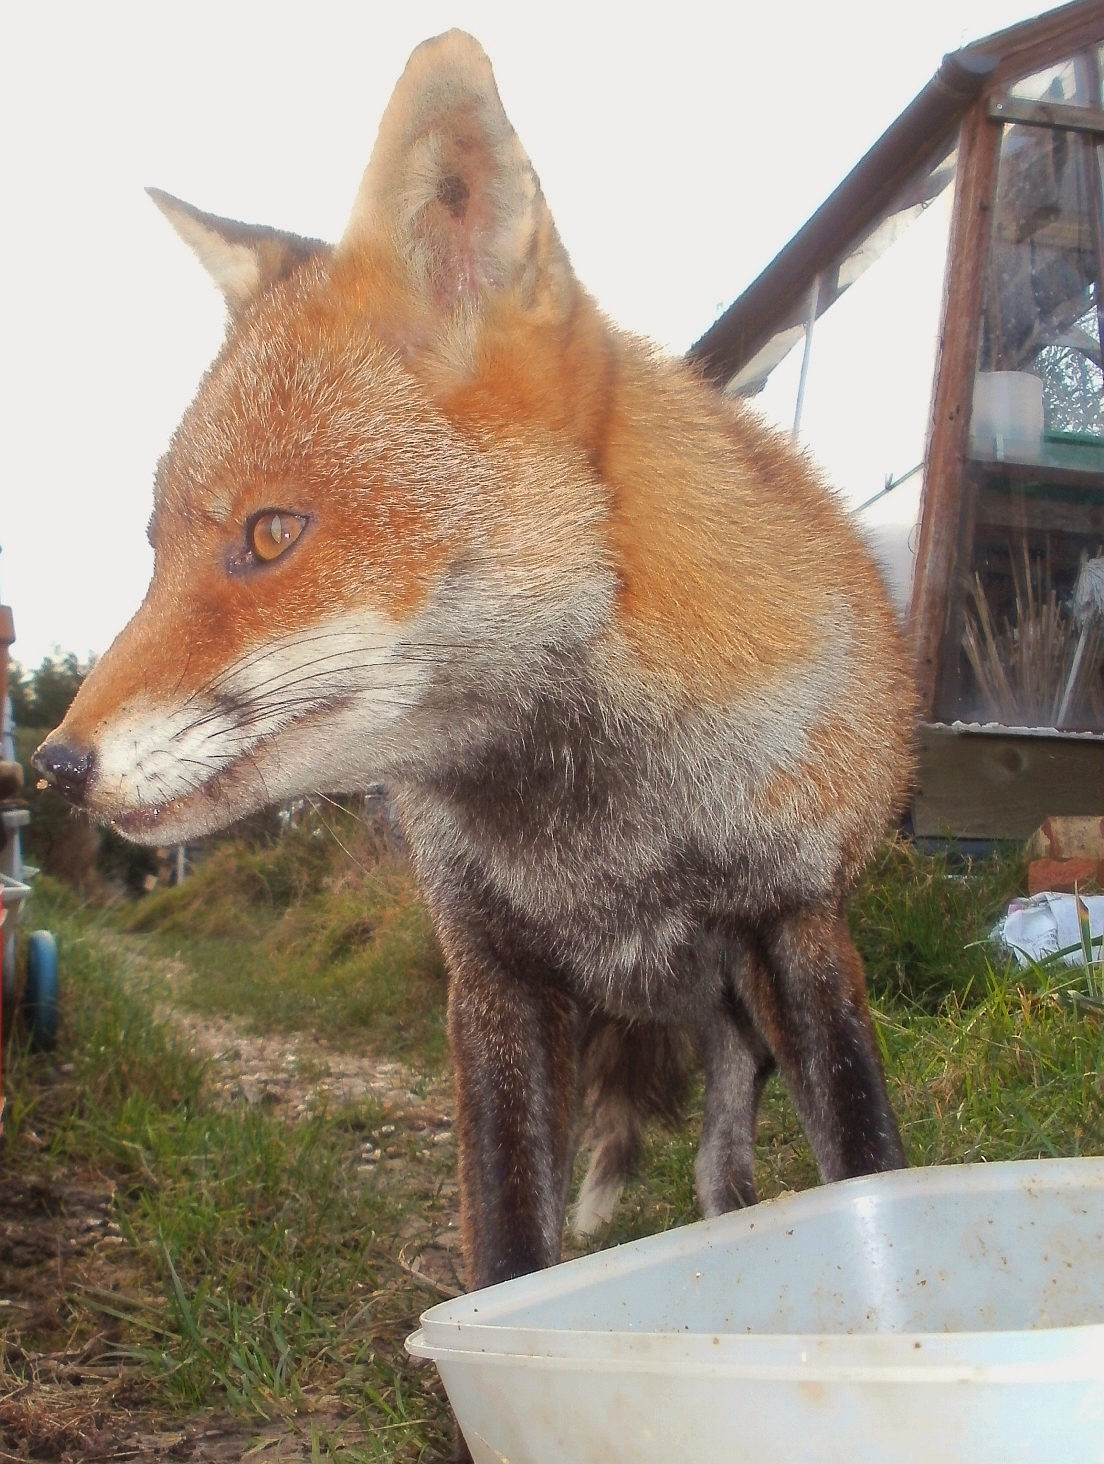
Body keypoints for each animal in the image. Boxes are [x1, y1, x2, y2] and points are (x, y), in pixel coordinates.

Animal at [38, 32, 913, 1306]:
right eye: (154, 552)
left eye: (269, 535)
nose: (52, 767)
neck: (604, 836)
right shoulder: (491, 978)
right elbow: (507, 1251)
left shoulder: (798, 927)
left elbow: (866, 1158)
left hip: (738, 1017)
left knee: (726, 1167)